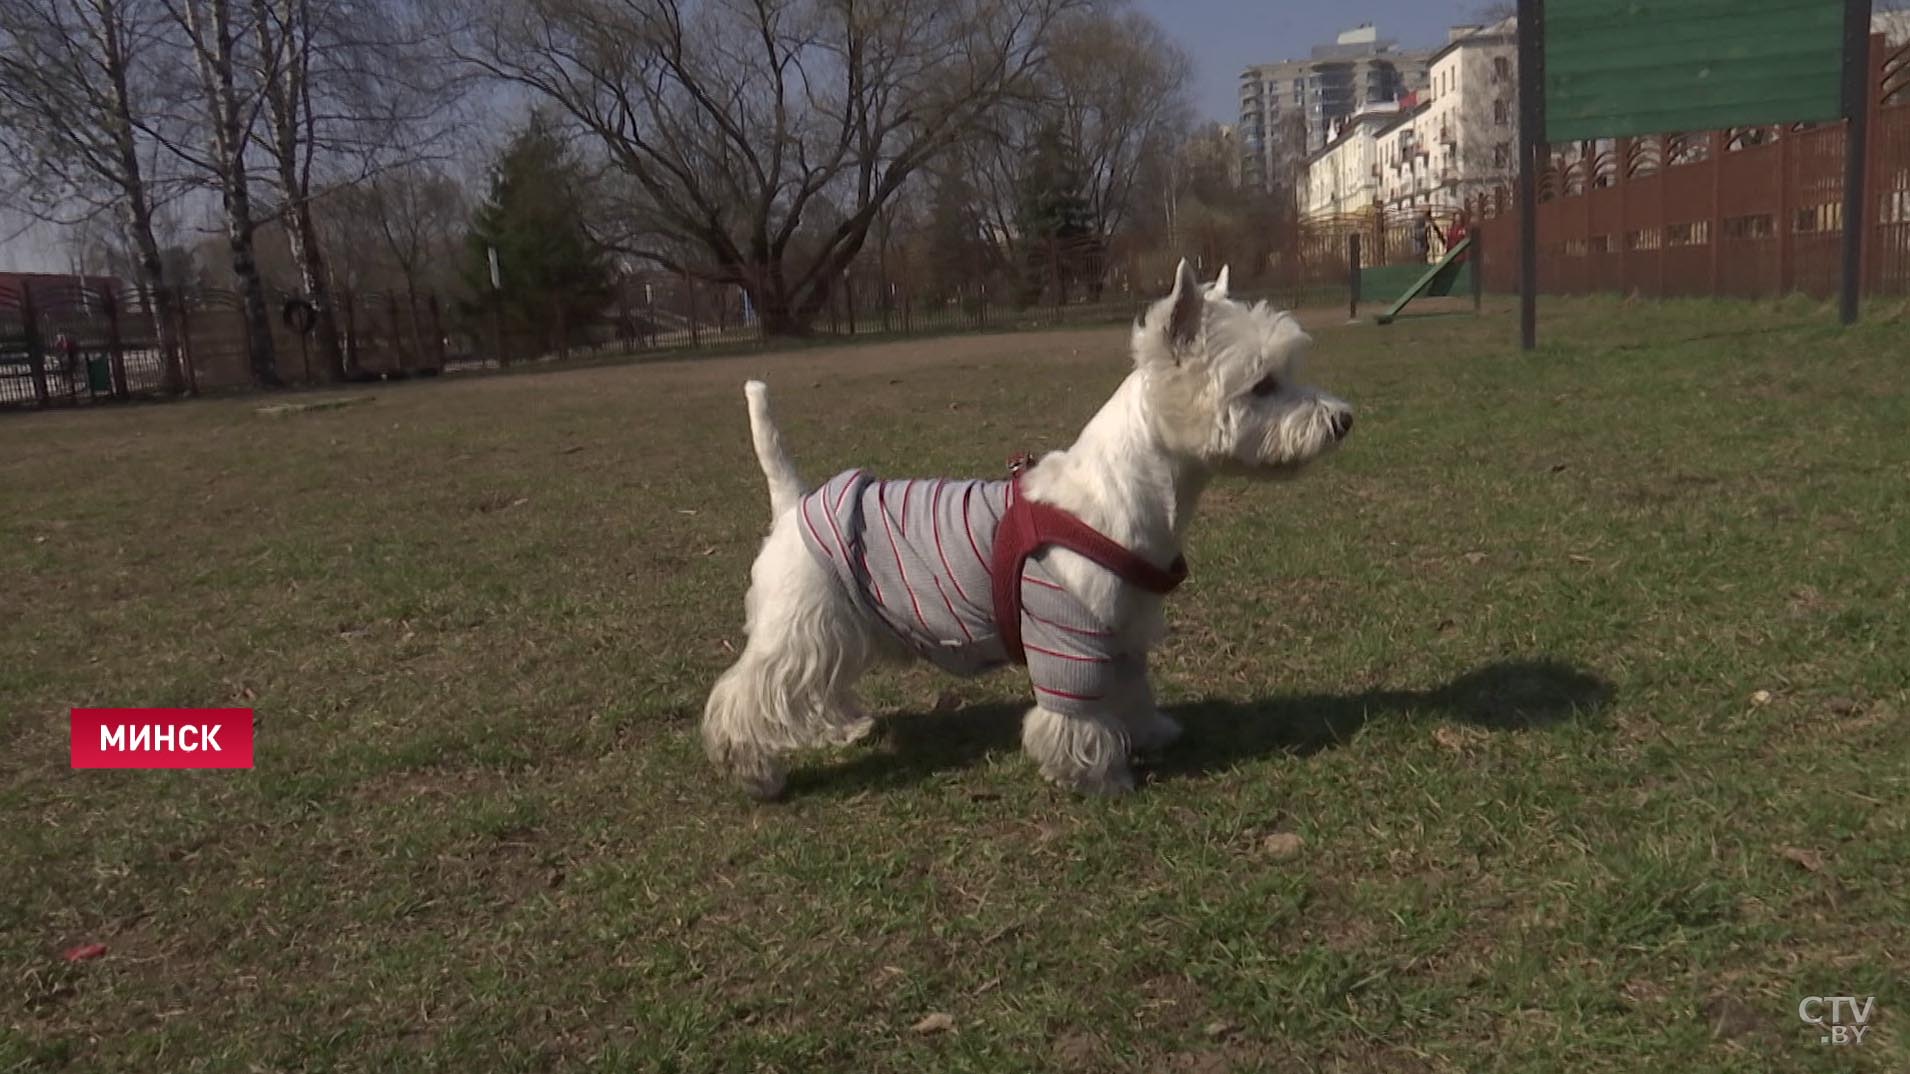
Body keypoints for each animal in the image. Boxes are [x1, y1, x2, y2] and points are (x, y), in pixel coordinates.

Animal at [706, 259, 1359, 794]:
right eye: (1263, 385)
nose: (1344, 420)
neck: (1129, 495)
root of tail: (794, 502)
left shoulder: (1122, 629)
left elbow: (1133, 688)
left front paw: (1150, 732)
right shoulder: (1066, 633)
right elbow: (1074, 716)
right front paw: (1097, 775)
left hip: (840, 626)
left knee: (816, 688)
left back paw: (842, 729)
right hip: (800, 624)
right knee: (749, 696)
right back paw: (755, 772)